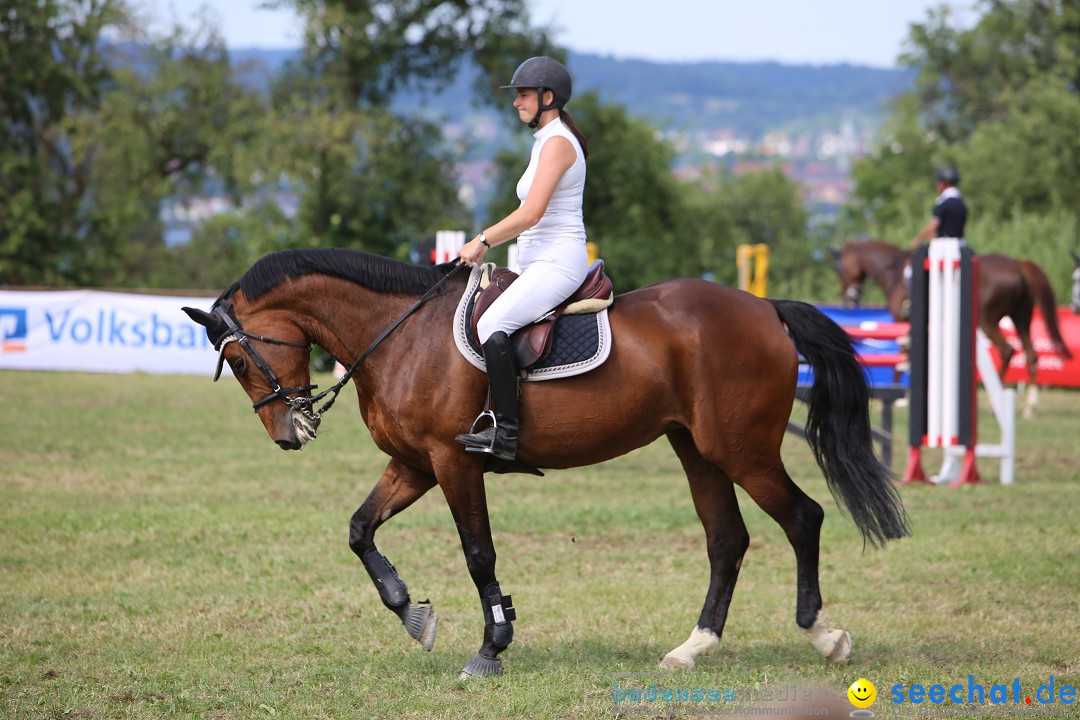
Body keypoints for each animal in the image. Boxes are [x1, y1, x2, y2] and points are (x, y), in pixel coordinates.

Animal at [181, 250, 907, 677]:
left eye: (238, 359)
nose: (290, 434)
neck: (400, 334)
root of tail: (764, 309)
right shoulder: (415, 464)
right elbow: (361, 530)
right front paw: (415, 613)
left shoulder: (452, 463)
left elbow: (478, 554)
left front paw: (491, 645)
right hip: (696, 450)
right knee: (727, 540)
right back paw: (693, 646)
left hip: (742, 448)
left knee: (803, 518)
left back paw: (824, 636)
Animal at [829, 239, 1067, 414]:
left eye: (839, 269)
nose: (849, 300)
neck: (894, 274)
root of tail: (1018, 264)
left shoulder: (904, 322)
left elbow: (903, 358)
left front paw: (899, 397)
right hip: (1021, 318)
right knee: (1031, 354)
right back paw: (1030, 407)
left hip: (989, 321)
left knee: (1007, 350)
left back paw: (995, 401)